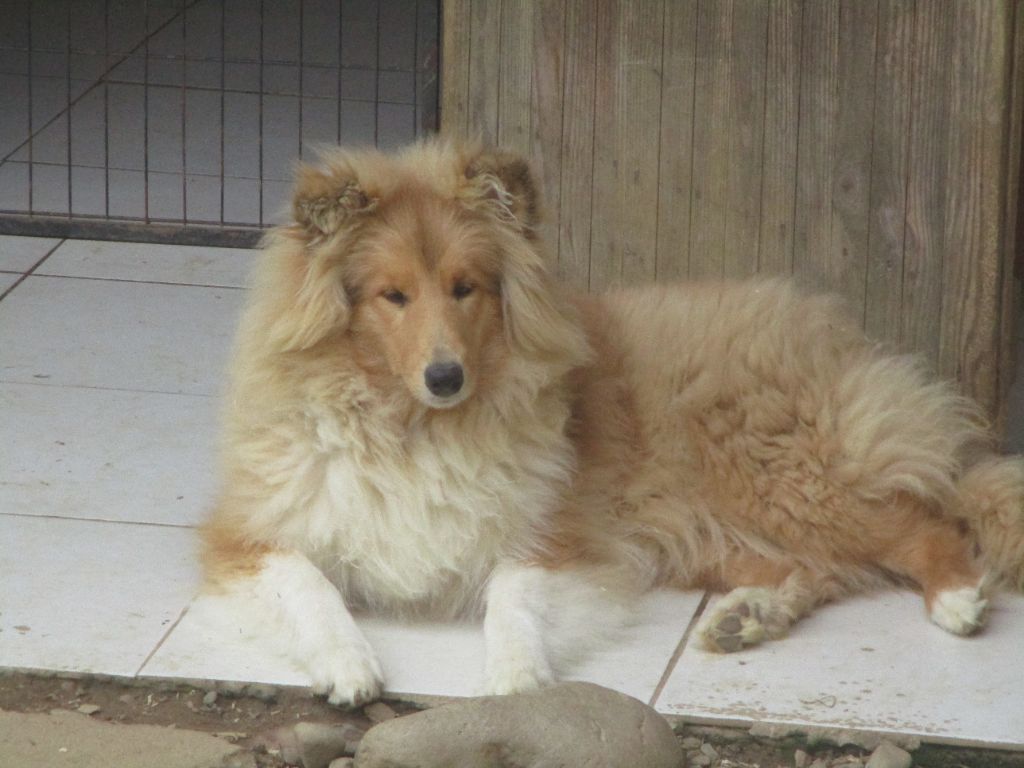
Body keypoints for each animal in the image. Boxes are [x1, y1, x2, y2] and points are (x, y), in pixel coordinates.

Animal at [201, 140, 1024, 706]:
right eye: (391, 295)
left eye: (466, 288)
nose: (445, 377)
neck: (413, 428)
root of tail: (845, 340)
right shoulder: (251, 537)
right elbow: (311, 586)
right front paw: (350, 666)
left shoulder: (555, 537)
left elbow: (512, 599)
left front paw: (517, 678)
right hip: (720, 531)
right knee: (824, 569)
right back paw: (746, 618)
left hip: (779, 479)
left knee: (927, 520)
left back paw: (956, 597)